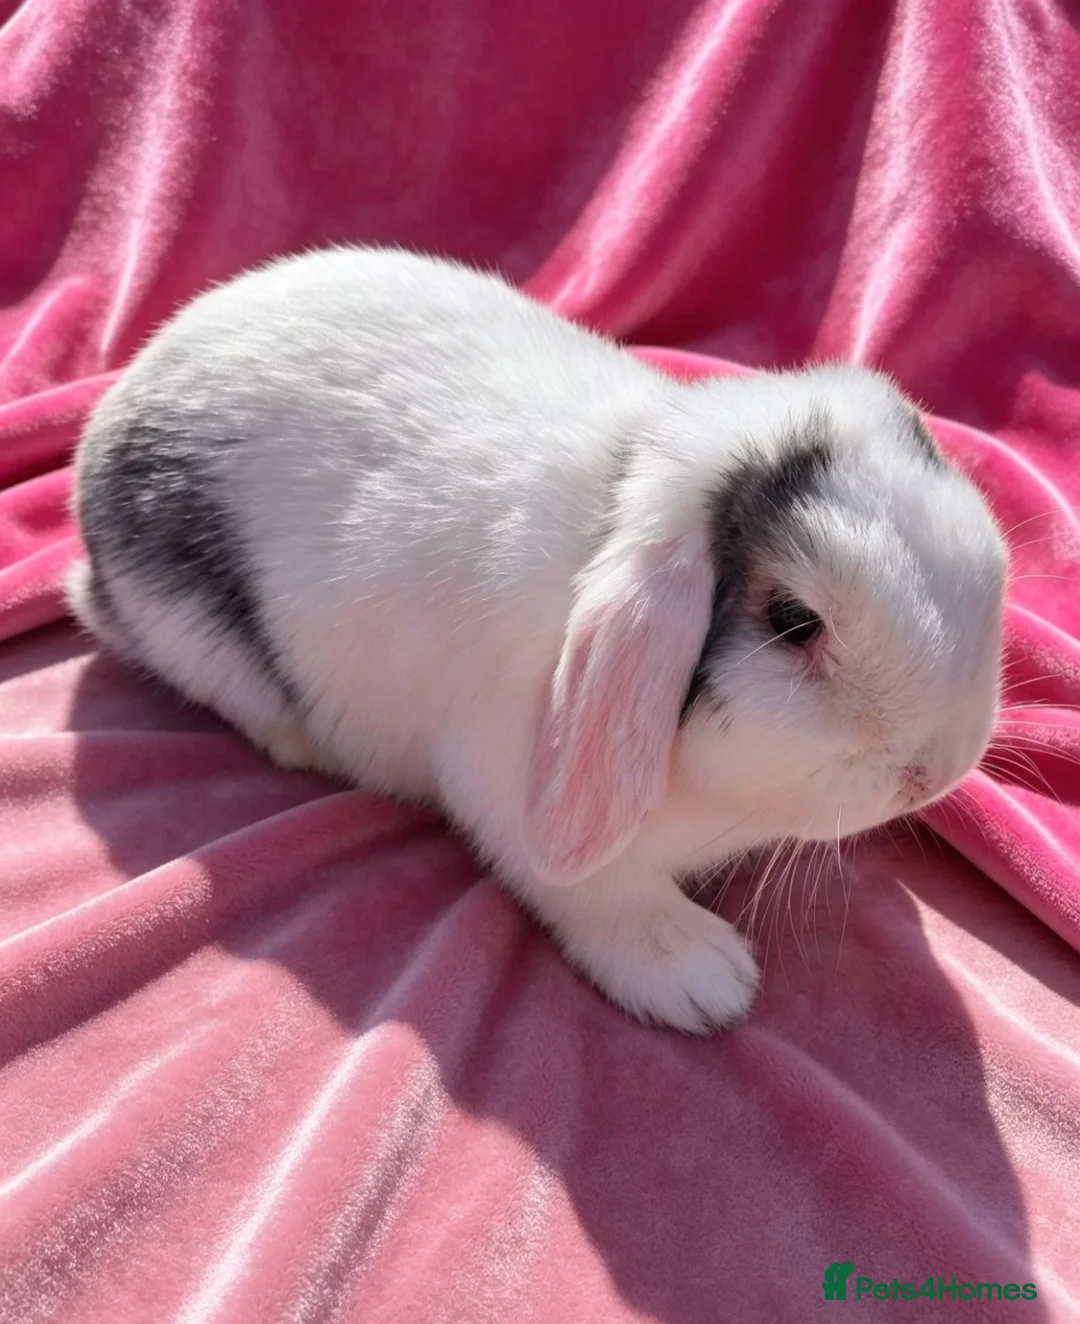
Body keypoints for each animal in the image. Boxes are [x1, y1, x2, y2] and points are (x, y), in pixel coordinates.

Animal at [68, 245, 1007, 1033]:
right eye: (793, 622)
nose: (935, 773)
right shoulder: (502, 785)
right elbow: (600, 890)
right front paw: (704, 980)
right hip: (186, 631)